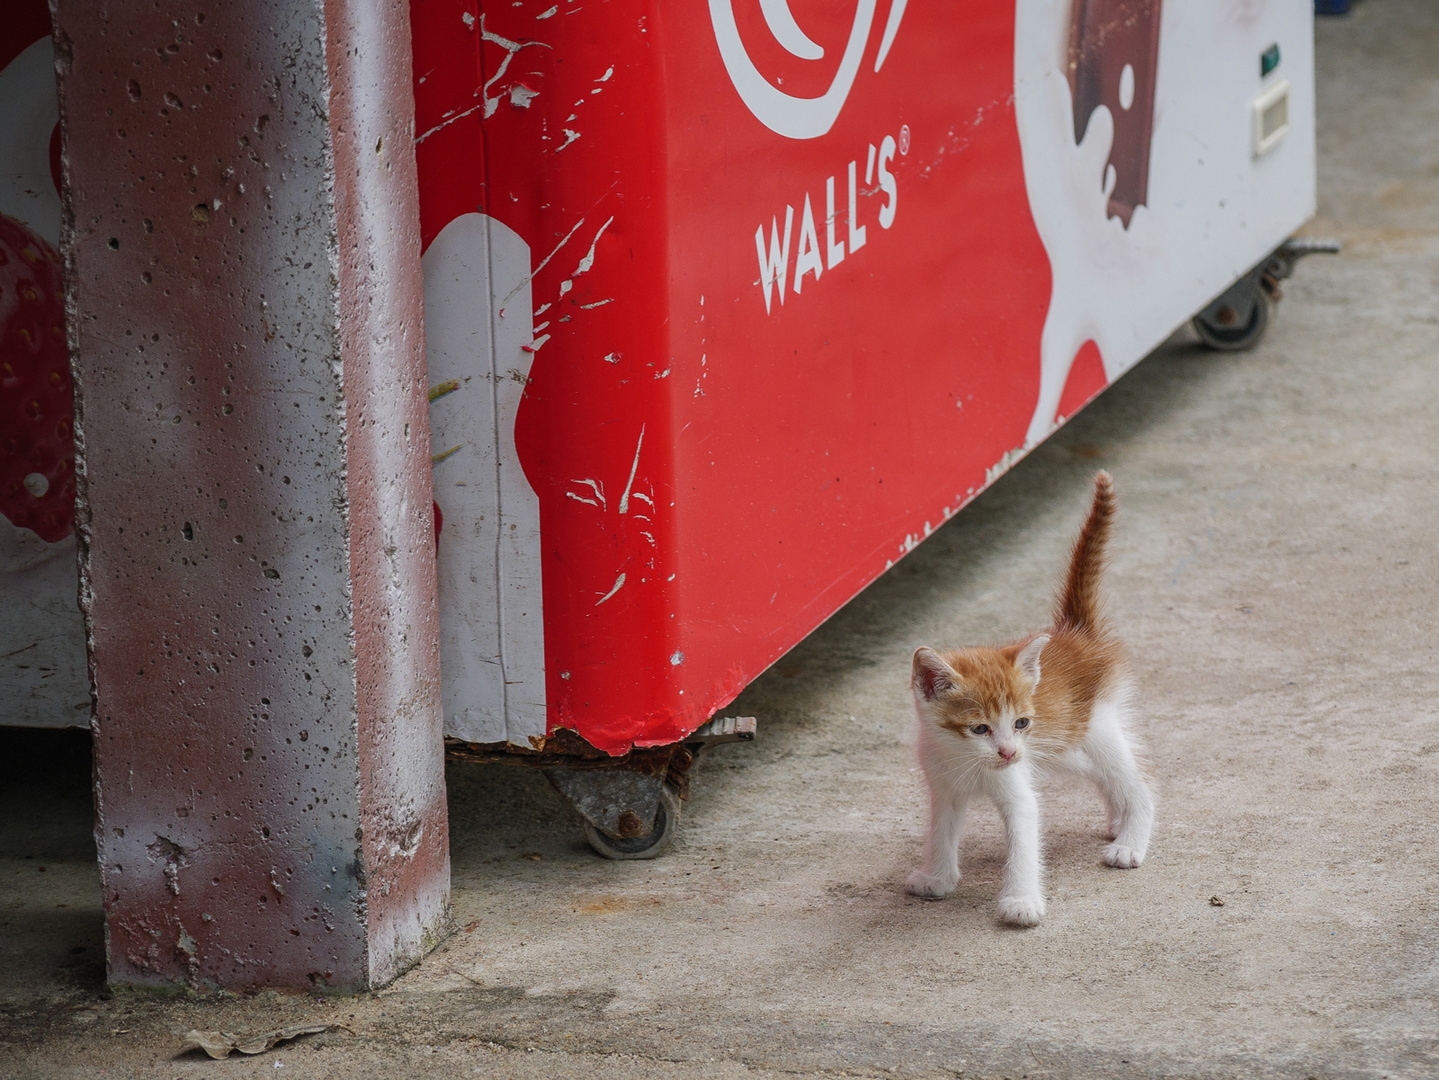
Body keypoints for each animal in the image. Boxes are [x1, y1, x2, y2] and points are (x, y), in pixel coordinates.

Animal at [903, 471, 1151, 931]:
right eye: (979, 728)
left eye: (1020, 722)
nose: (1006, 750)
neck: (968, 760)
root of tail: (1074, 632)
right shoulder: (945, 788)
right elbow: (940, 833)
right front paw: (937, 878)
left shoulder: (1019, 785)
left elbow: (1024, 840)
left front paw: (1021, 902)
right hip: (1057, 747)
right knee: (1098, 773)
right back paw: (1118, 818)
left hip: (1095, 726)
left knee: (1139, 781)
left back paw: (1130, 840)